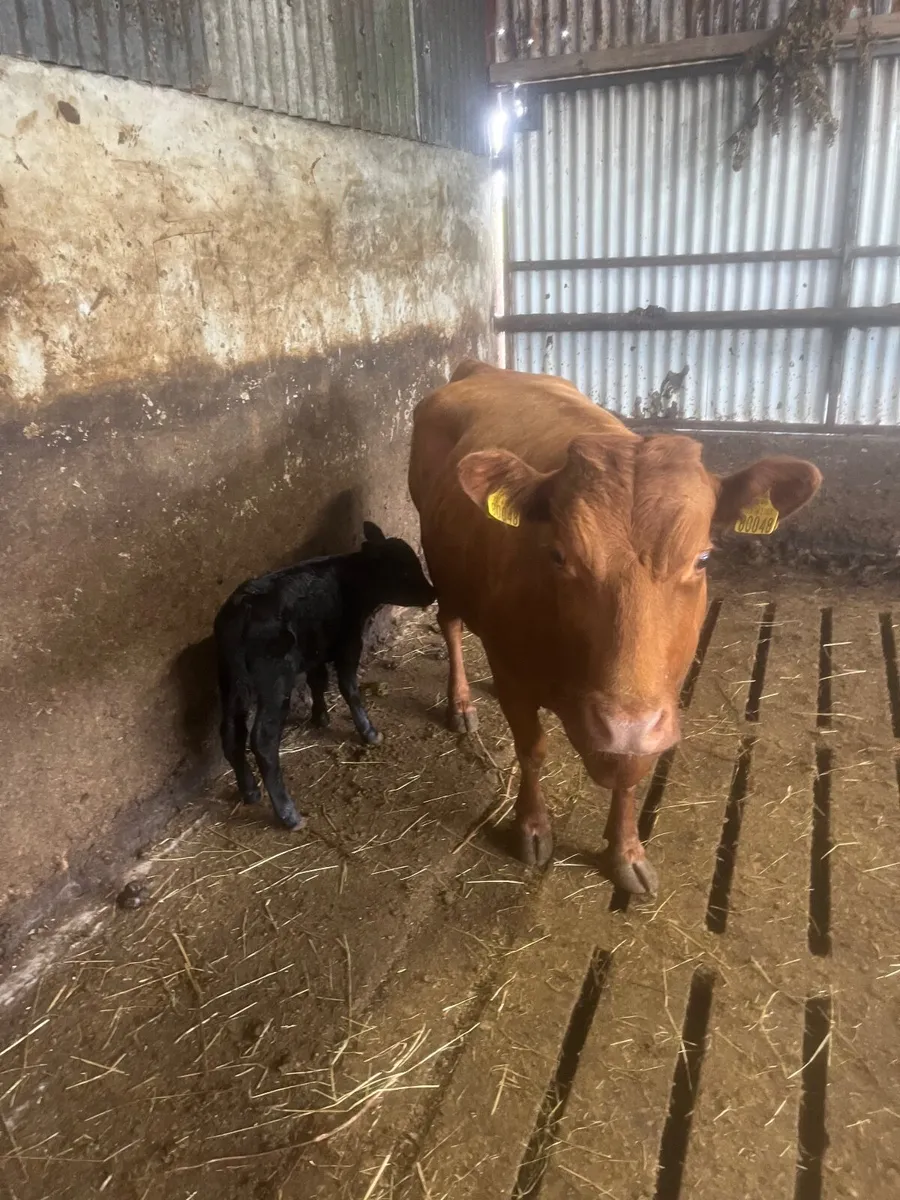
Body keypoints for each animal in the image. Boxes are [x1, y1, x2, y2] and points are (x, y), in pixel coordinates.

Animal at [408, 360, 821, 895]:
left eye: (703, 558)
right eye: (558, 555)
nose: (622, 724)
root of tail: (486, 368)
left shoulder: (656, 700)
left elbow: (630, 773)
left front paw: (625, 852)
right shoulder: (512, 671)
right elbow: (532, 750)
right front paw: (532, 828)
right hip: (441, 564)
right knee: (451, 624)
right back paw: (460, 703)